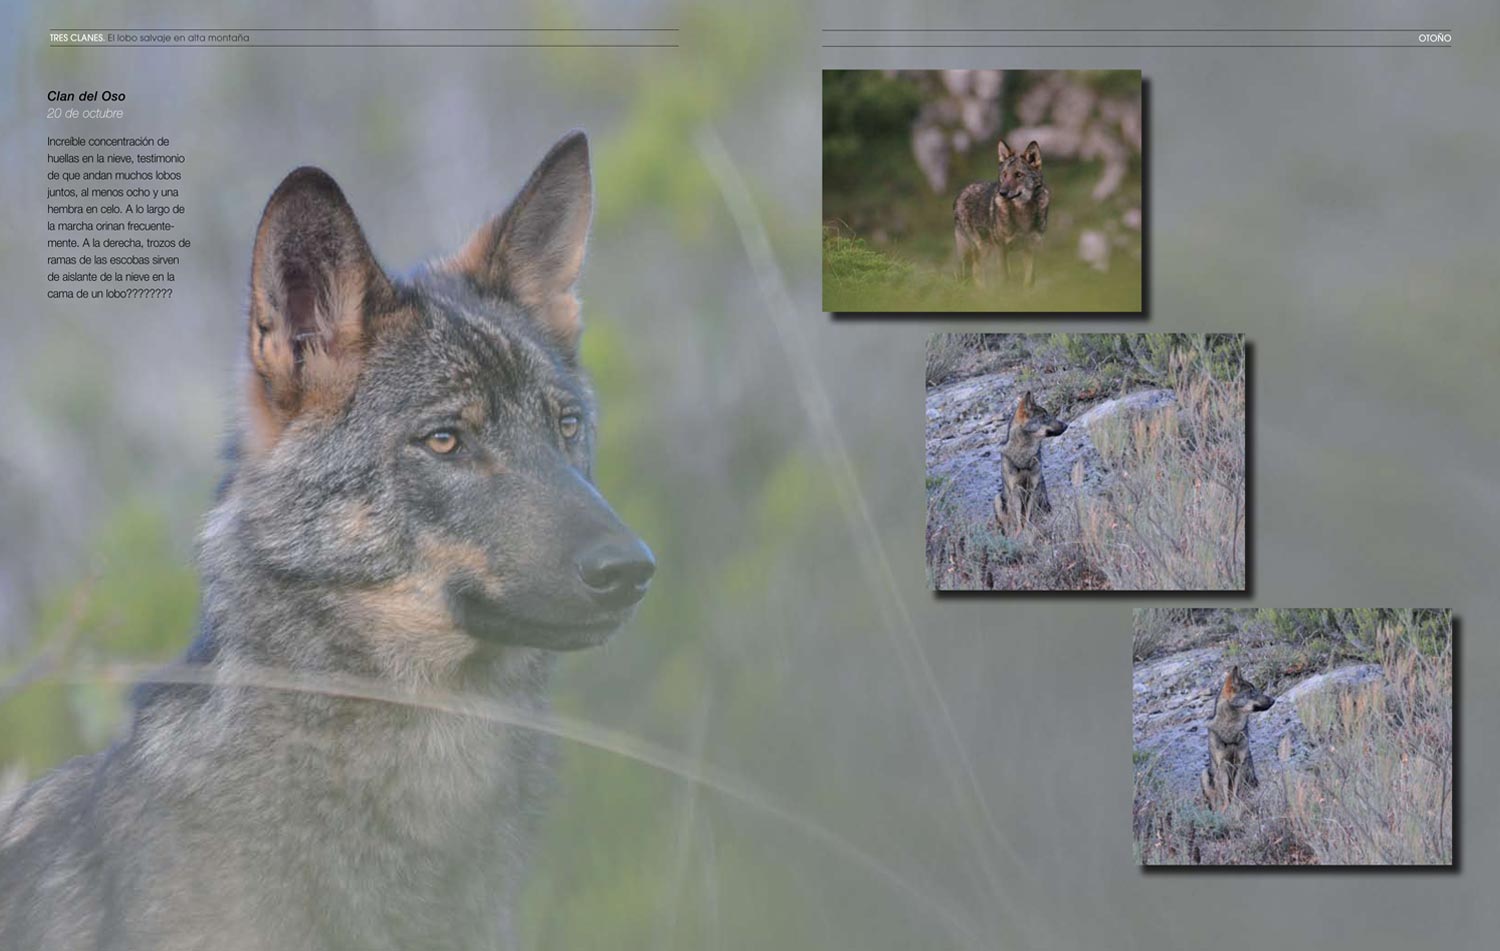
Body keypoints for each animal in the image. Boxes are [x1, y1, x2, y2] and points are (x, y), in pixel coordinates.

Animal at [954, 138, 1050, 288]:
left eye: (1018, 175)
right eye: (1004, 175)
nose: (1002, 192)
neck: (1023, 212)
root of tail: (961, 192)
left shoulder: (1030, 248)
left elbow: (1029, 280)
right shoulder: (1001, 248)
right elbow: (1005, 277)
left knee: (977, 271)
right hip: (976, 250)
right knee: (970, 271)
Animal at [993, 391, 1068, 535]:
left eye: (1047, 414)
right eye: (1044, 416)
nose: (1066, 425)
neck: (1024, 456)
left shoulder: (1033, 489)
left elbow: (1028, 515)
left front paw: (1028, 530)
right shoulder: (1016, 490)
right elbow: (1018, 517)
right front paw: (1019, 533)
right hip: (998, 498)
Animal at [1199, 666, 1276, 811]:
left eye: (1256, 690)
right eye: (1251, 692)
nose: (1273, 700)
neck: (1231, 731)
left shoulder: (1240, 764)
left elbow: (1235, 790)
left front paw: (1235, 805)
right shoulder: (1223, 766)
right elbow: (1225, 792)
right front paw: (1226, 808)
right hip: (1205, 774)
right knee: (1214, 799)